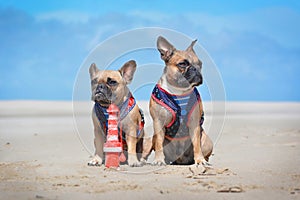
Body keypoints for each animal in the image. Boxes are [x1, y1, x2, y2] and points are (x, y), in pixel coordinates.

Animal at [148, 36, 213, 166]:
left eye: (200, 64)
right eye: (182, 64)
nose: (196, 69)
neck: (178, 91)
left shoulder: (194, 124)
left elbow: (197, 145)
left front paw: (200, 160)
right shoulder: (158, 122)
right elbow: (158, 144)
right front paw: (158, 160)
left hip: (207, 141)